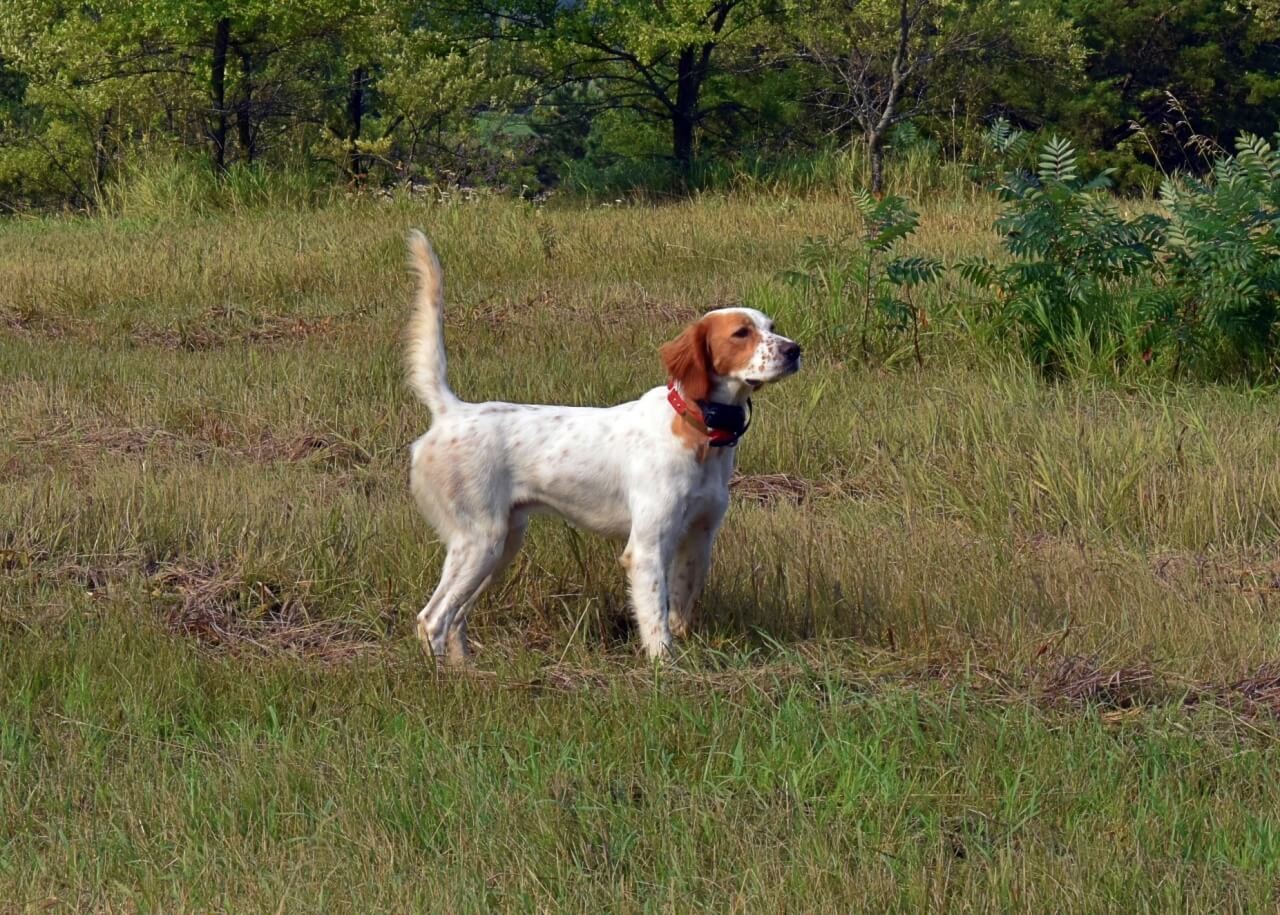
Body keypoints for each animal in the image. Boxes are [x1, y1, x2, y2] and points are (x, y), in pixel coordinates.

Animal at [404, 232, 798, 660]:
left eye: (772, 327)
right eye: (741, 333)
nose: (794, 350)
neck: (700, 434)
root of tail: (451, 410)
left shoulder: (698, 537)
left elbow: (679, 608)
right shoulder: (647, 546)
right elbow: (656, 622)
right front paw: (665, 668)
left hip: (502, 542)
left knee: (455, 617)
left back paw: (467, 670)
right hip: (479, 540)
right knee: (433, 619)